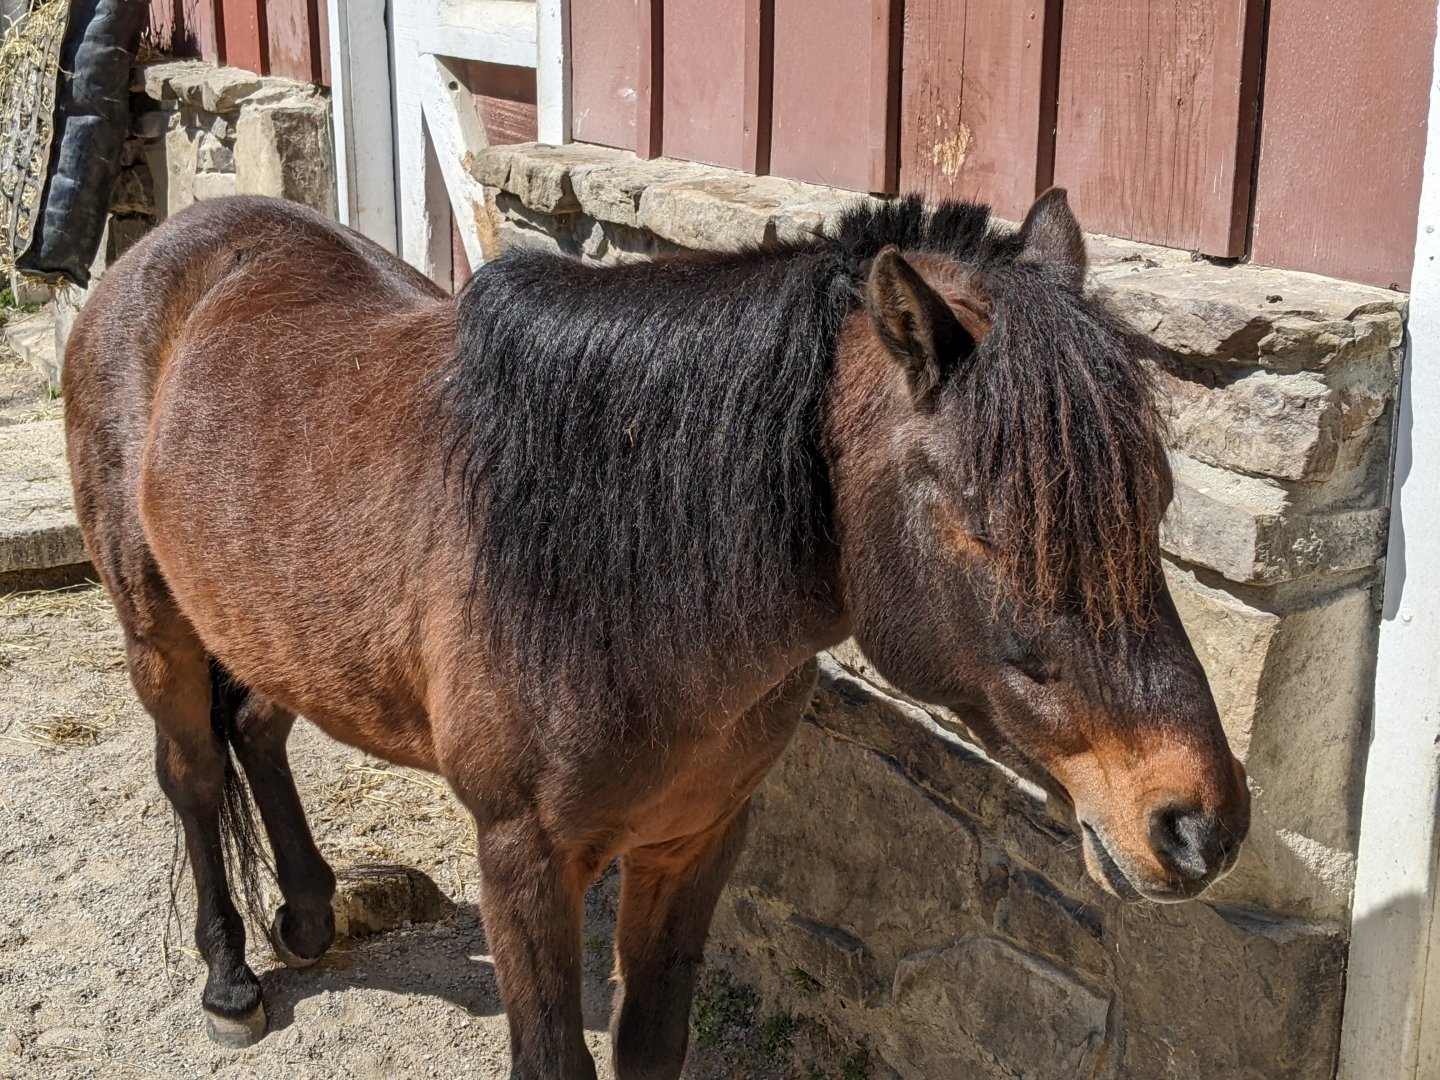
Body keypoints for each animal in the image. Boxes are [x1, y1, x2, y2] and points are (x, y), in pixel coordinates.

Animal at [62, 188, 1249, 1079]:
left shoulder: (697, 840)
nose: (1200, 824)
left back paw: (309, 915)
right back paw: (231, 982)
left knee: (260, 728)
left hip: (272, 617)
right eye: (984, 524)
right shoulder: (525, 861)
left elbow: (651, 1045)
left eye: (1152, 502)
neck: (617, 582)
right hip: (156, 621)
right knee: (192, 773)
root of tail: (164, 248)